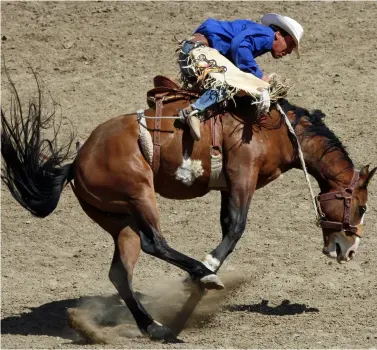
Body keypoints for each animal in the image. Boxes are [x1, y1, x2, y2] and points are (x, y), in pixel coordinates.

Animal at [1, 69, 374, 344]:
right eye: (360, 208)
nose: (349, 250)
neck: (275, 128)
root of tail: (76, 162)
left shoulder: (228, 186)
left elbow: (227, 227)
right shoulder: (243, 175)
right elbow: (236, 228)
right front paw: (207, 268)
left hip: (118, 220)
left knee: (121, 271)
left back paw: (154, 326)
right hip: (140, 195)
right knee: (154, 243)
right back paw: (200, 276)